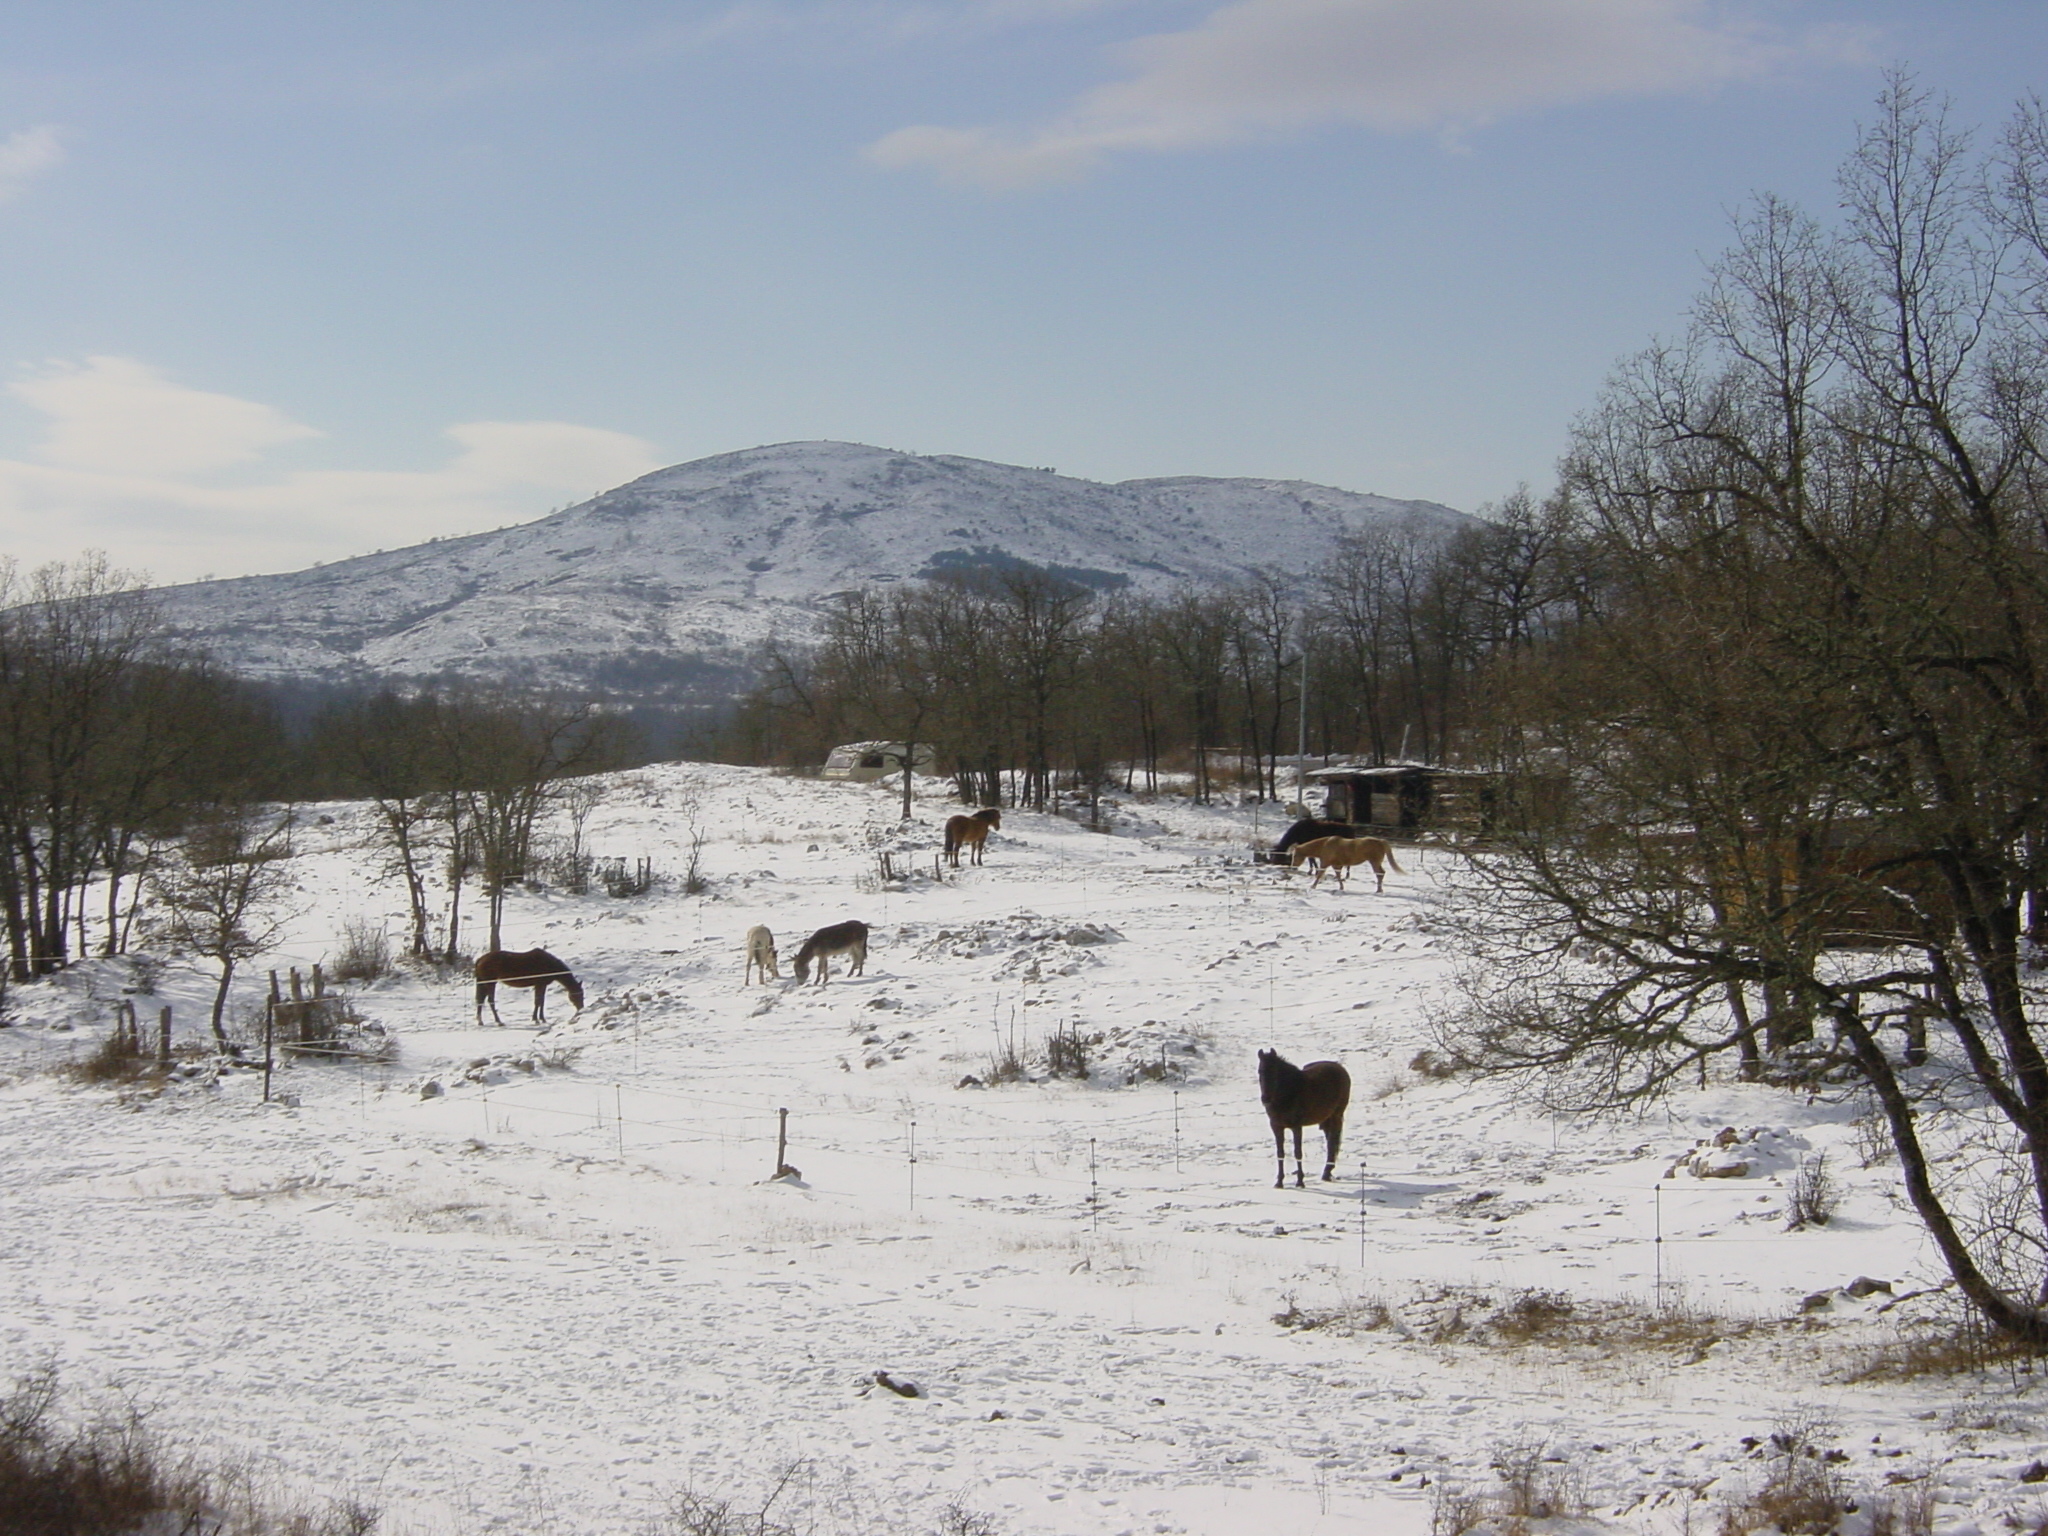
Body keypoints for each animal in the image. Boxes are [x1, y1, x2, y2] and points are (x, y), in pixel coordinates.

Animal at [1253, 1056, 1351, 1196]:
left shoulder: (1296, 1126)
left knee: (1332, 1142)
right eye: (1260, 1071)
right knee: (1330, 1141)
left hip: (1336, 1116)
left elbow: (1298, 1152)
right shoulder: (1277, 1127)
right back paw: (1327, 1172)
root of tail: (1340, 1068)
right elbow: (1280, 1153)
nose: (1265, 1098)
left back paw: (1327, 1173)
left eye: (1275, 1072)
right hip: (1326, 1119)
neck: (1288, 1094)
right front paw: (1279, 1182)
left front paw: (1300, 1182)